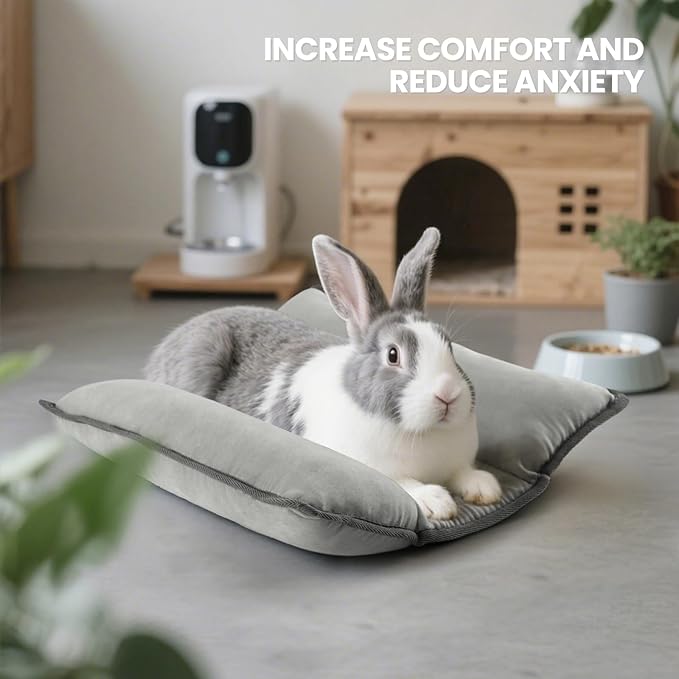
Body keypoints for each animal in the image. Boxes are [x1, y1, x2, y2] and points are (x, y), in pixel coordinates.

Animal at [144, 227, 501, 520]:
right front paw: (437, 502)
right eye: (393, 355)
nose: (448, 395)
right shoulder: (374, 469)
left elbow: (463, 472)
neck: (424, 433)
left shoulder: (454, 463)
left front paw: (485, 489)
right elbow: (403, 483)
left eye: (449, 345)